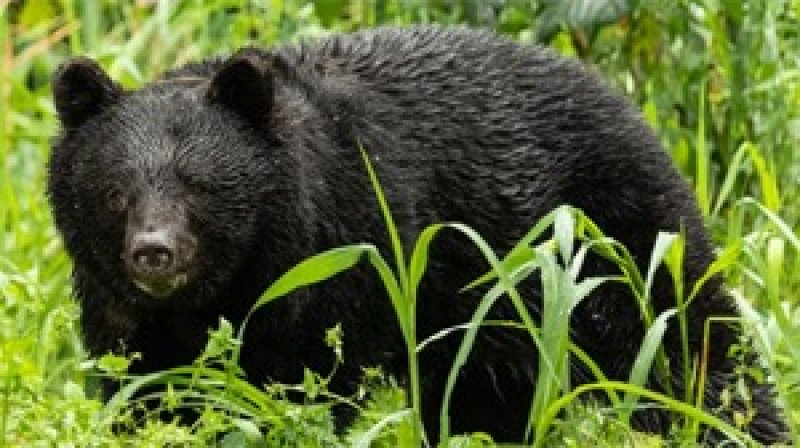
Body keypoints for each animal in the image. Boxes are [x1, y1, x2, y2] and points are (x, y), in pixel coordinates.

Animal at [48, 25, 786, 444]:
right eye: (115, 193)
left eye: (198, 186)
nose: (154, 253)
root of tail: (627, 101)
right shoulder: (129, 316)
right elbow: (149, 387)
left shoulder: (342, 263)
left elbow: (301, 384)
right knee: (483, 402)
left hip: (615, 235)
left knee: (690, 347)